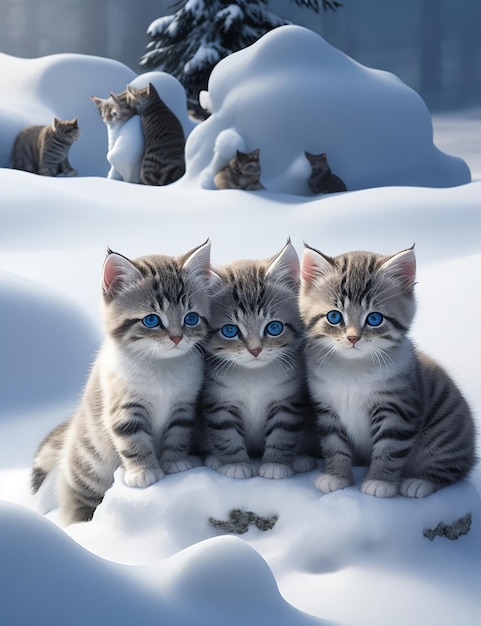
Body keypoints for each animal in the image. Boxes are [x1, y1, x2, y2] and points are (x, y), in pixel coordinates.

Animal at [30, 239, 210, 520]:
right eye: (151, 320)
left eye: (190, 318)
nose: (176, 338)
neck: (162, 367)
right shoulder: (122, 405)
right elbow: (132, 440)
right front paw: (143, 472)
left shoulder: (184, 403)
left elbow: (178, 433)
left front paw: (176, 462)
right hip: (88, 468)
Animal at [200, 239, 316, 478]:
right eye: (230, 331)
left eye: (274, 327)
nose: (255, 350)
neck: (253, 375)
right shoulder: (219, 402)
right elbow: (226, 433)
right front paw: (235, 464)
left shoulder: (288, 400)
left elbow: (283, 431)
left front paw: (275, 464)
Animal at [298, 244, 474, 498]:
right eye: (334, 316)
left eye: (374, 318)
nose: (353, 338)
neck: (352, 367)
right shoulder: (326, 408)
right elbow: (334, 444)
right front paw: (337, 476)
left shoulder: (397, 409)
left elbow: (389, 449)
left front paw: (380, 482)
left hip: (446, 429)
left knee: (451, 467)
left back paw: (420, 482)